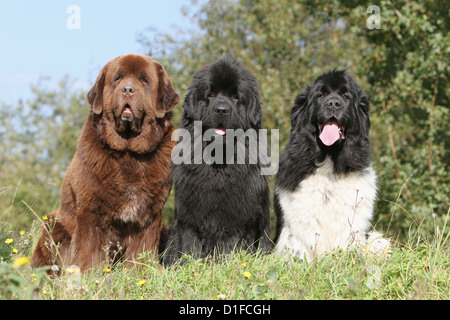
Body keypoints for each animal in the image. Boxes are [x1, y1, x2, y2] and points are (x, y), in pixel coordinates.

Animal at [32, 55, 179, 272]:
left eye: (144, 81)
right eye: (117, 79)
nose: (128, 89)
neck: (129, 153)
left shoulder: (150, 214)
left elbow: (142, 248)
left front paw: (141, 272)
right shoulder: (91, 209)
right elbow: (90, 247)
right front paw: (90, 273)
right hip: (53, 223)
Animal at [164, 57, 272, 264]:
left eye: (236, 97)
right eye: (211, 94)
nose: (221, 109)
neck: (218, 163)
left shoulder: (236, 222)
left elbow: (228, 248)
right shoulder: (190, 218)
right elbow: (189, 248)